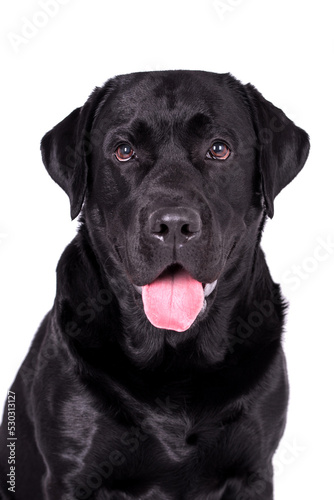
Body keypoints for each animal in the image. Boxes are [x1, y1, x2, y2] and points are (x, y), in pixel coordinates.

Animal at [0, 71, 310, 500]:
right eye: (124, 151)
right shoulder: (73, 475)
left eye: (219, 149)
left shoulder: (254, 470)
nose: (174, 224)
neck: (176, 357)